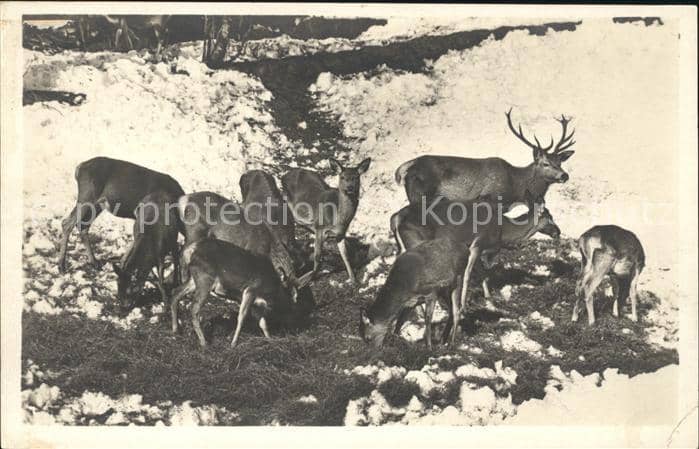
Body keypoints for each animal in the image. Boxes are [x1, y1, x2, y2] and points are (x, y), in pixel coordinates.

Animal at [394, 108, 576, 209]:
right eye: (545, 163)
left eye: (560, 162)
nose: (564, 175)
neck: (516, 186)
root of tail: (407, 166)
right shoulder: (491, 197)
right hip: (419, 193)